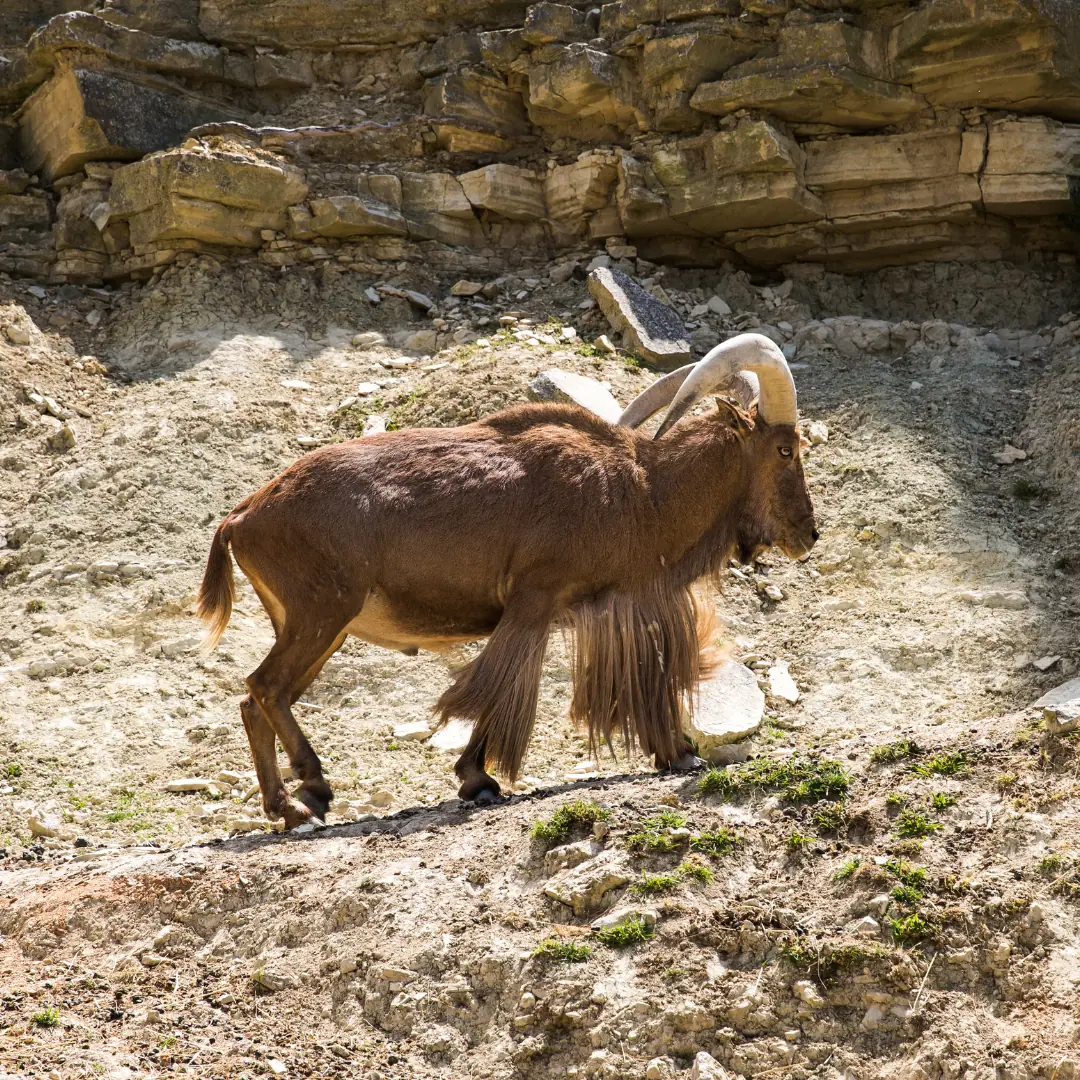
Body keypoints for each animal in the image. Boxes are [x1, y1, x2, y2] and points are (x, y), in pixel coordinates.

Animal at [197, 333, 817, 828]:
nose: (808, 533)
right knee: (264, 688)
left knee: (258, 699)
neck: (645, 491)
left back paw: (290, 801)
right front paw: (478, 778)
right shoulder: (536, 600)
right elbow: (500, 685)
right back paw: (308, 793)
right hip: (320, 614)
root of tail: (242, 516)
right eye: (785, 449)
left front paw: (675, 751)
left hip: (317, 627)